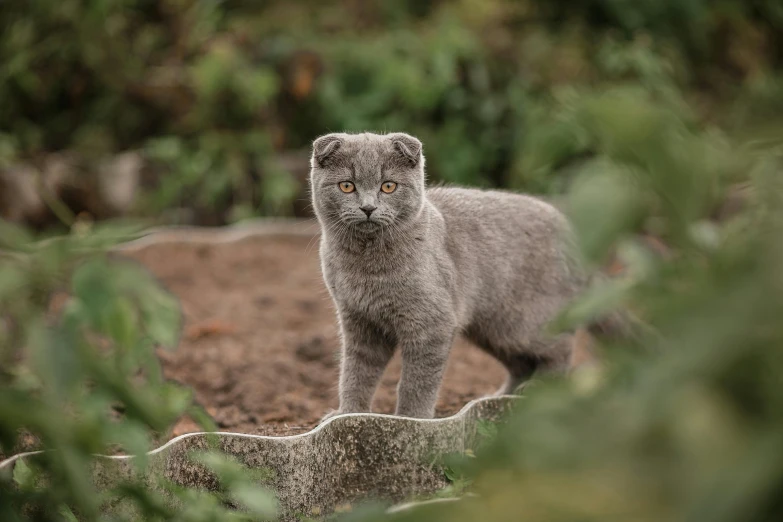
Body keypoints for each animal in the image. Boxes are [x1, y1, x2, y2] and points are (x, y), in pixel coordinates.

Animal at [310, 131, 584, 418]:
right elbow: (356, 372)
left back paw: (540, 388)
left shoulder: (433, 323)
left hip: (522, 323)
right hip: (490, 328)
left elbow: (416, 381)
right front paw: (348, 413)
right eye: (346, 186)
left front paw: (411, 419)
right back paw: (502, 396)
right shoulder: (358, 320)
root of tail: (571, 233)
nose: (367, 207)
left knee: (561, 346)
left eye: (388, 186)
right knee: (521, 363)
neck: (366, 266)